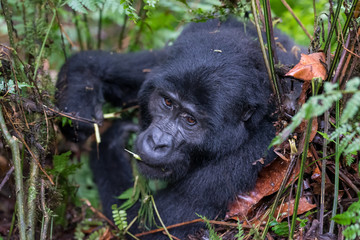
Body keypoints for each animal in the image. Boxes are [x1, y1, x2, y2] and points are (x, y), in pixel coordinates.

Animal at [55, 18, 298, 238]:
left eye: (190, 121)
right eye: (167, 102)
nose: (156, 142)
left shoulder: (257, 148)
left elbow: (145, 225)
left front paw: (112, 141)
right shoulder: (166, 61)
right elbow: (89, 62)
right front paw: (76, 110)